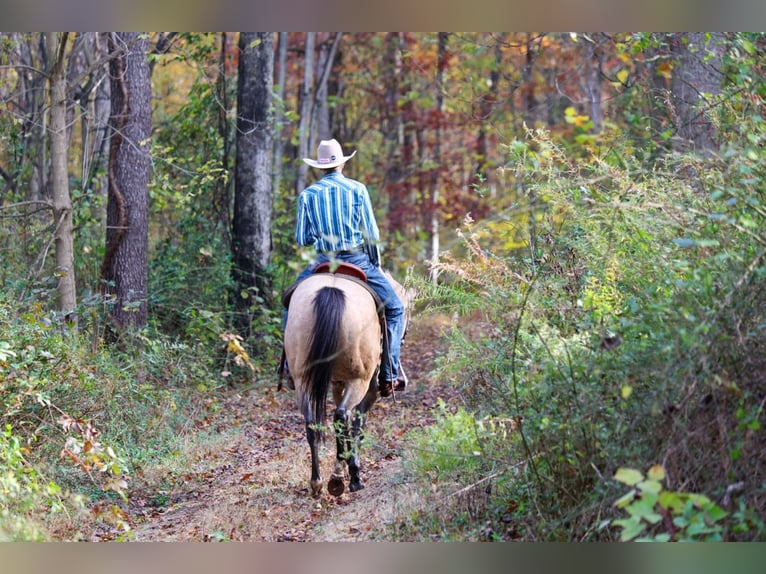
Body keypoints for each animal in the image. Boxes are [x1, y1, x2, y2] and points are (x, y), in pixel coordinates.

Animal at [283, 266, 411, 498]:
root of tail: (331, 290)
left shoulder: (337, 384)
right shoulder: (369, 389)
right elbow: (358, 426)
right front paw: (351, 472)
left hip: (302, 380)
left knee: (313, 423)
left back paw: (317, 482)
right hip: (359, 380)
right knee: (341, 416)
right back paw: (342, 480)